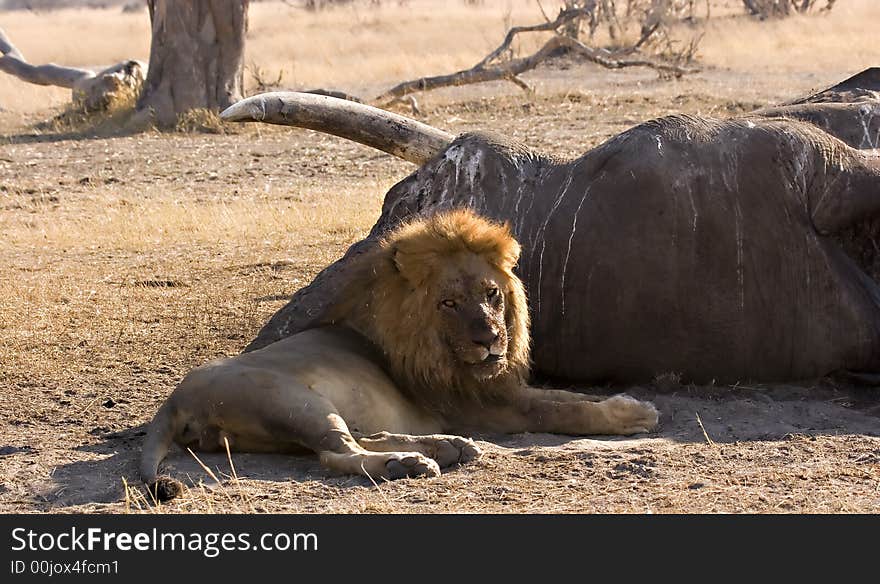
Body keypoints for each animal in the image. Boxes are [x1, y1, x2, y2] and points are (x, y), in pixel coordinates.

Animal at [139, 208, 660, 500]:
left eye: (491, 294)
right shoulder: (486, 406)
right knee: (336, 454)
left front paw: (625, 403)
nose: (491, 338)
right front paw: (631, 415)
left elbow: (568, 396)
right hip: (295, 399)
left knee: (355, 439)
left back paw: (446, 449)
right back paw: (409, 463)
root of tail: (174, 400)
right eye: (449, 303)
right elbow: (564, 410)